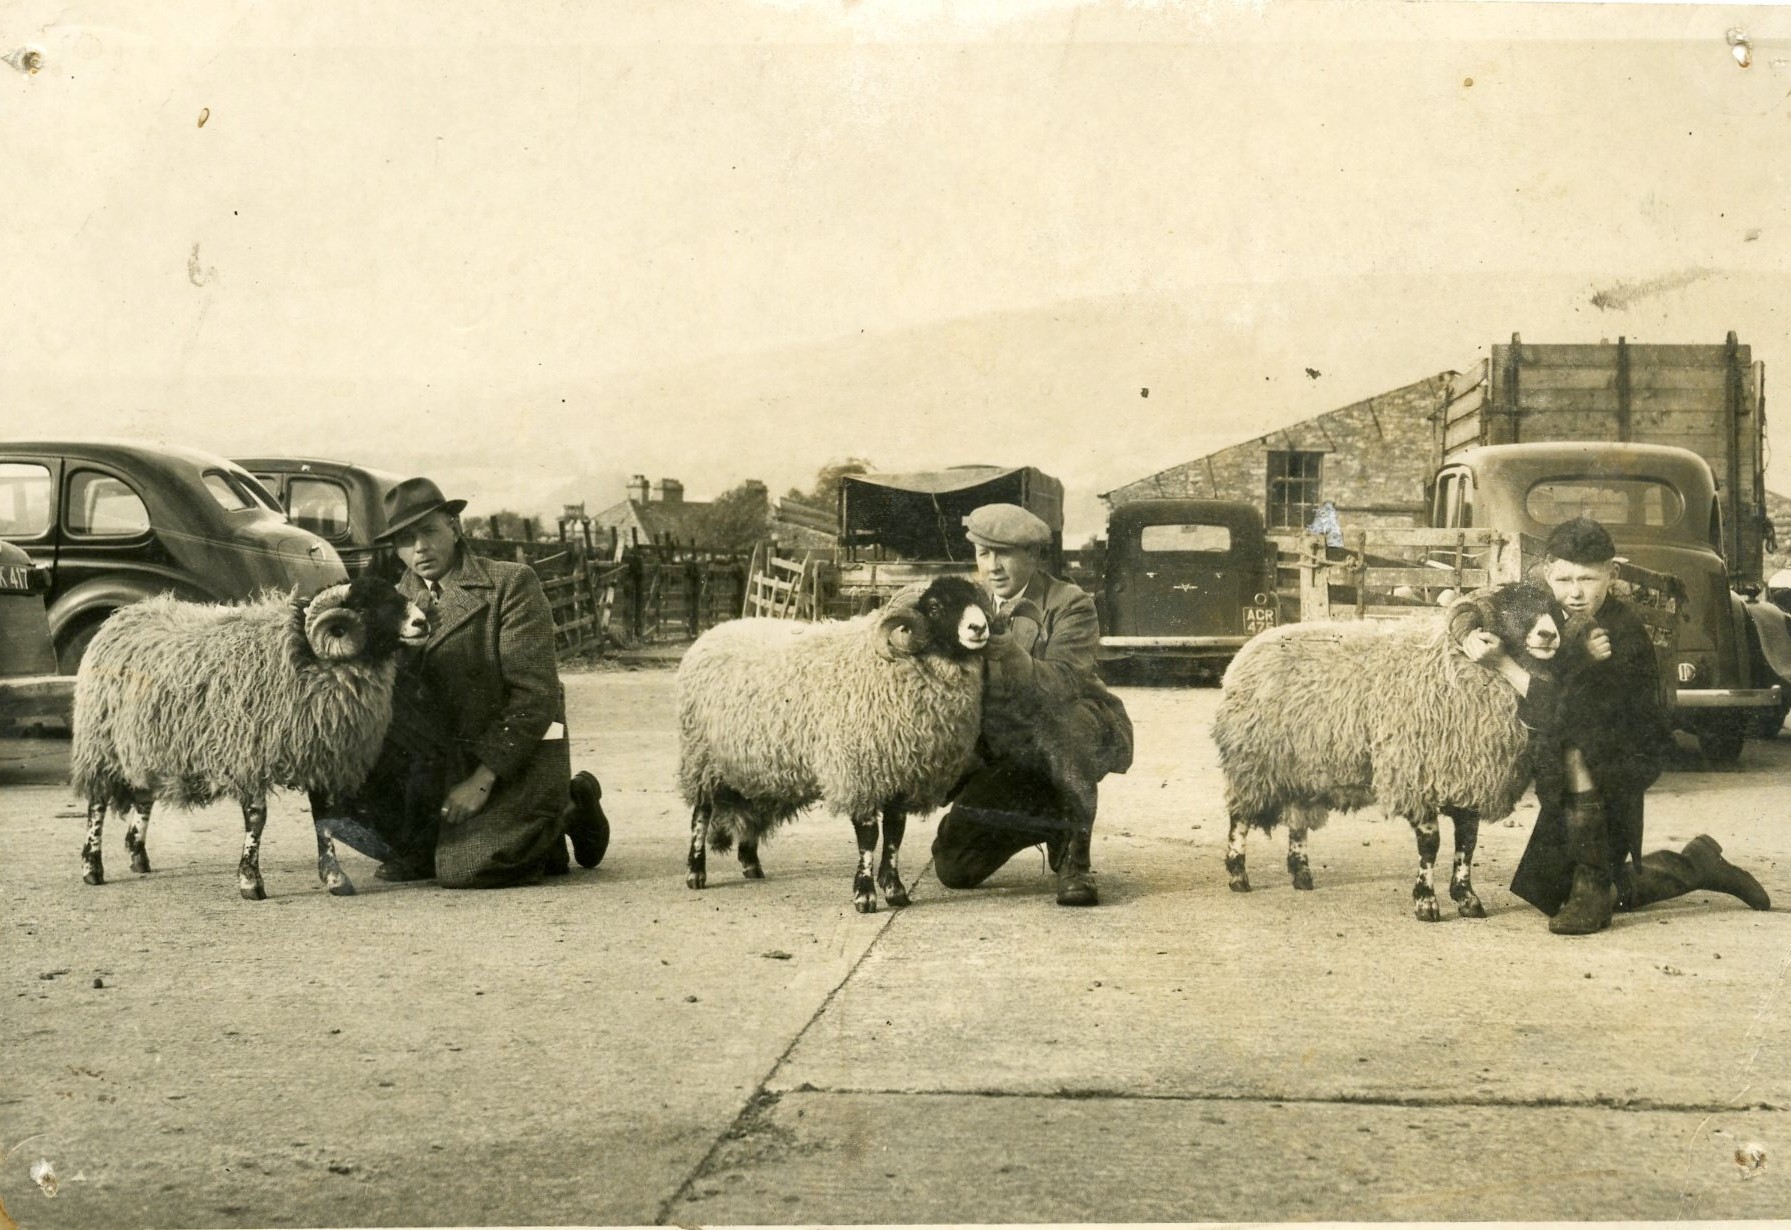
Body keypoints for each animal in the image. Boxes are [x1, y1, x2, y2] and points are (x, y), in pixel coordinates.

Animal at [71, 577, 429, 900]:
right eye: (367, 607)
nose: (422, 622)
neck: (305, 655)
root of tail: (121, 616)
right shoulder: (250, 755)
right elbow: (256, 820)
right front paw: (250, 881)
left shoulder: (319, 755)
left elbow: (324, 818)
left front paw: (334, 877)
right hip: (100, 744)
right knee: (97, 803)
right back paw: (92, 867)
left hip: (146, 743)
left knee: (144, 795)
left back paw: (138, 855)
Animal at [678, 575, 994, 913]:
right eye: (935, 606)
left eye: (975, 599)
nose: (979, 628)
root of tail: (716, 630)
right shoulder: (860, 771)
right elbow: (868, 837)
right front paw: (865, 895)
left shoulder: (900, 774)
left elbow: (895, 834)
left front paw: (895, 890)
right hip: (702, 757)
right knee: (701, 814)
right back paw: (696, 872)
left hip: (751, 758)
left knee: (750, 808)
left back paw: (751, 864)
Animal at [1211, 583, 1562, 921]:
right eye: (1507, 607)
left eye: (1552, 609)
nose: (1549, 635)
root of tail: (1250, 648)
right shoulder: (1415, 775)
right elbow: (1430, 844)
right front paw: (1426, 902)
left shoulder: (1469, 778)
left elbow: (1468, 843)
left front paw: (1467, 898)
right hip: (1253, 761)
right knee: (1239, 817)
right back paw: (1238, 875)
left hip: (1303, 763)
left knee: (1298, 817)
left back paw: (1301, 874)